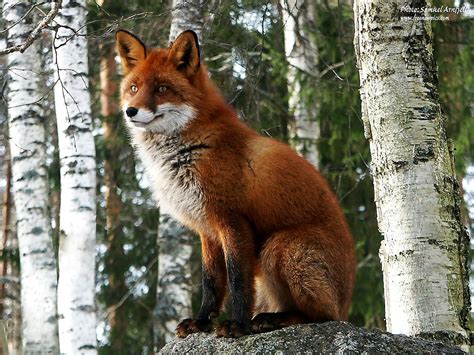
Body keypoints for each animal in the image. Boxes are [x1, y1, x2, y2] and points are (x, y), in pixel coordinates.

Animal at [116, 29, 358, 338]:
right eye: (134, 88)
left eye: (161, 89)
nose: (131, 111)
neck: (189, 150)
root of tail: (347, 305)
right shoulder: (206, 229)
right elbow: (211, 282)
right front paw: (202, 322)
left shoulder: (232, 220)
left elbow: (238, 281)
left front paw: (238, 325)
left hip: (281, 245)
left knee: (322, 317)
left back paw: (273, 319)